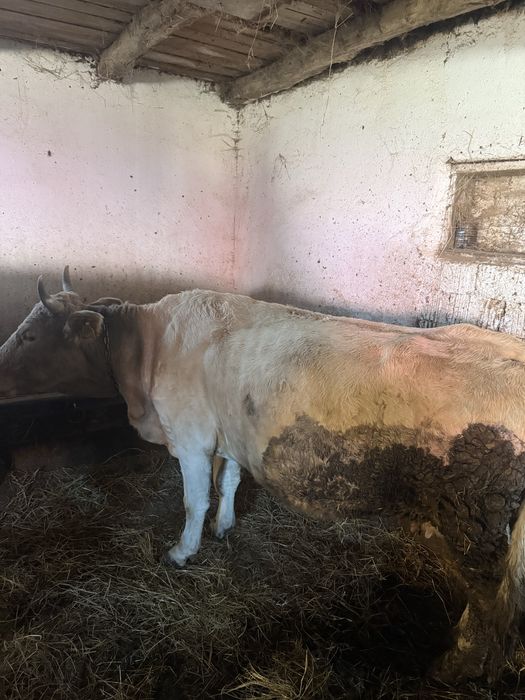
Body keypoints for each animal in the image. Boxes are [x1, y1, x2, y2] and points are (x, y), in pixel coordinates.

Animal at [1, 267, 525, 683]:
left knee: (490, 610)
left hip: (474, 531)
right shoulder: (230, 433)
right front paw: (225, 526)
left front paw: (182, 551)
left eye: (28, 337)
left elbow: (194, 500)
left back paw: (452, 666)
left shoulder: (190, 438)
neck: (147, 352)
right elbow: (228, 483)